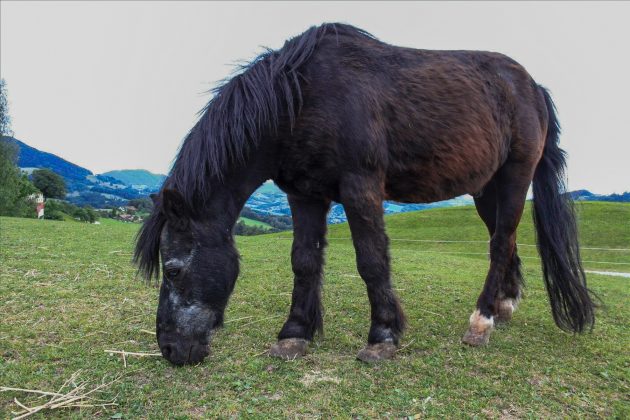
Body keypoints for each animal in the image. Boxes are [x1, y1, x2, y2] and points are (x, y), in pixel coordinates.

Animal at [135, 23, 596, 364]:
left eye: (172, 270)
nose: (170, 349)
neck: (300, 99)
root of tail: (533, 87)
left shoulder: (361, 188)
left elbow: (372, 261)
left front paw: (382, 337)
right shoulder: (304, 195)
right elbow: (303, 261)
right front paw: (294, 334)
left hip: (516, 177)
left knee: (501, 243)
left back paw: (480, 321)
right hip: (486, 190)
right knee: (507, 239)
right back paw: (504, 306)